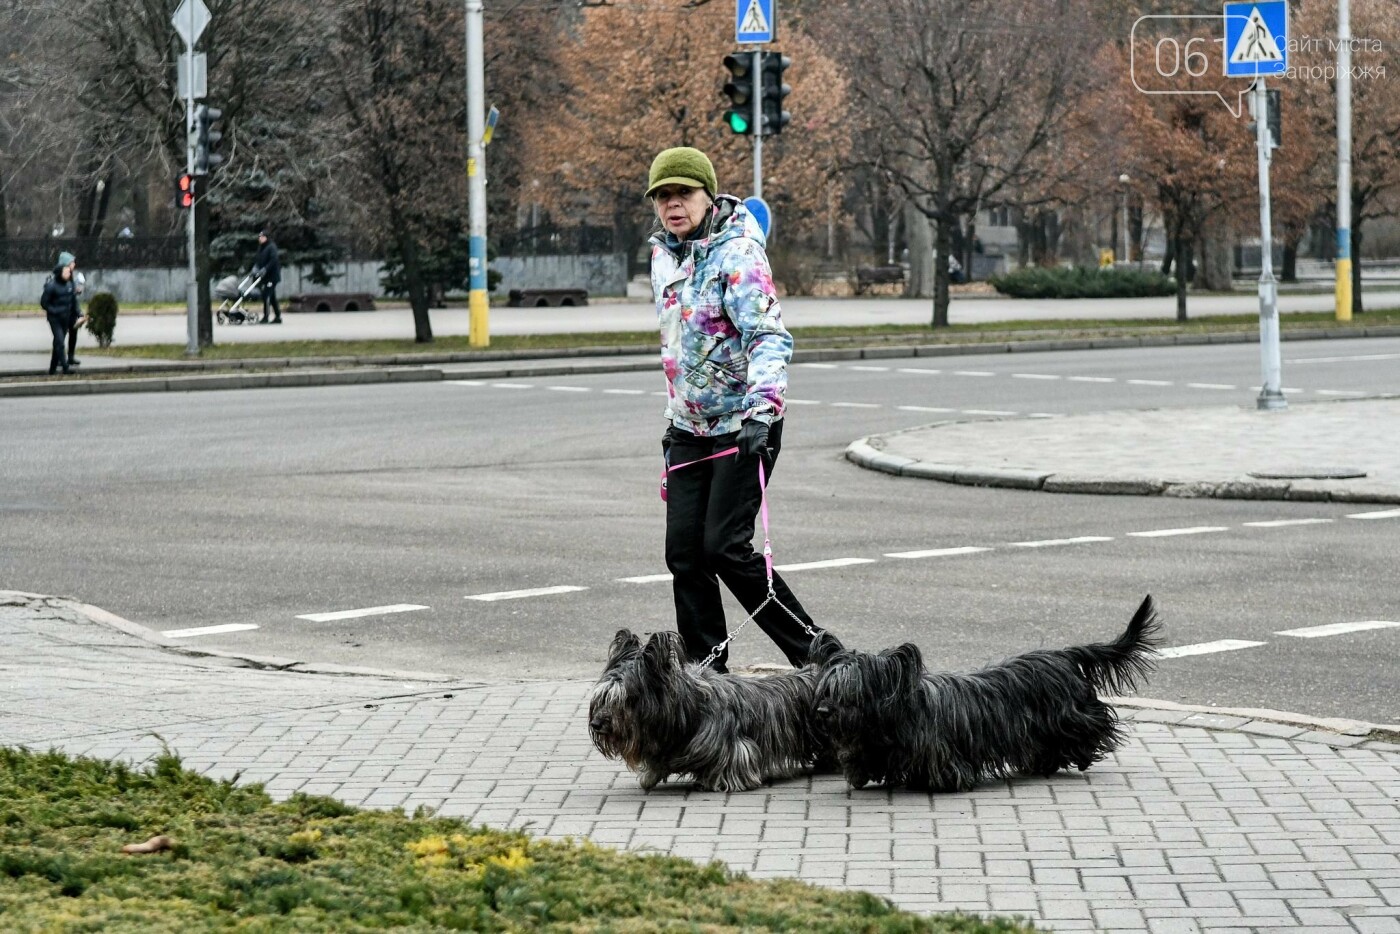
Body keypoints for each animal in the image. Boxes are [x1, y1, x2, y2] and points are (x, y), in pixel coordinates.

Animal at [585, 632, 823, 795]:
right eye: (602, 697)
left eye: (625, 699)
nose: (596, 723)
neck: (689, 708)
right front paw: (650, 775)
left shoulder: (729, 743)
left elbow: (735, 758)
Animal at [812, 599, 1159, 789]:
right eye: (826, 688)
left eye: (849, 690)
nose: (823, 712)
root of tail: (1064, 654)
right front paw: (859, 772)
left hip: (1070, 715)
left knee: (1096, 722)